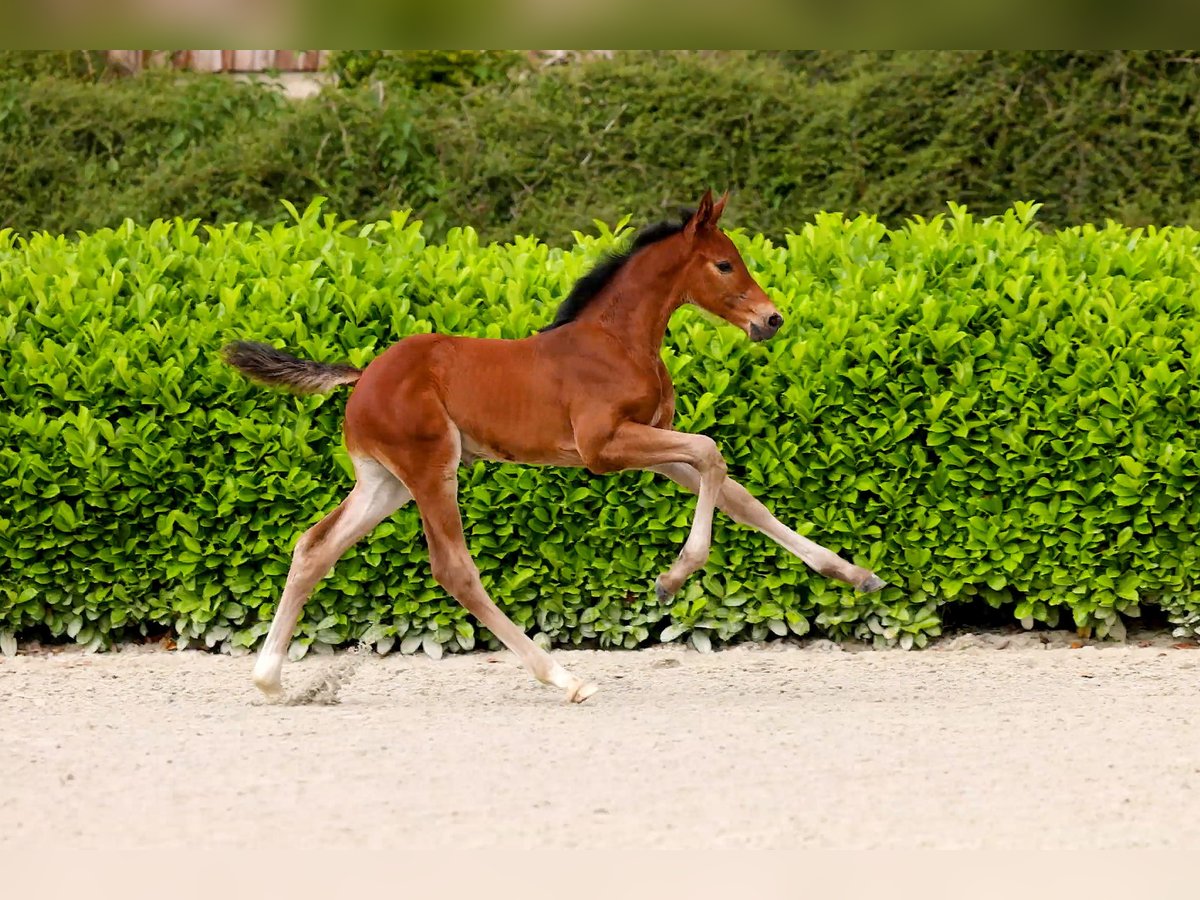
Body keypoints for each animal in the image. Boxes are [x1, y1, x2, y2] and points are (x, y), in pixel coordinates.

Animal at [223, 190, 886, 704]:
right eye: (725, 265)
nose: (771, 320)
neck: (617, 341)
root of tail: (362, 377)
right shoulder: (603, 448)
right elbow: (711, 451)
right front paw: (672, 579)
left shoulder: (651, 446)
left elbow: (738, 495)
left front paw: (854, 574)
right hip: (432, 469)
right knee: (454, 569)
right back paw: (565, 678)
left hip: (384, 483)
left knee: (314, 547)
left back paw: (269, 680)